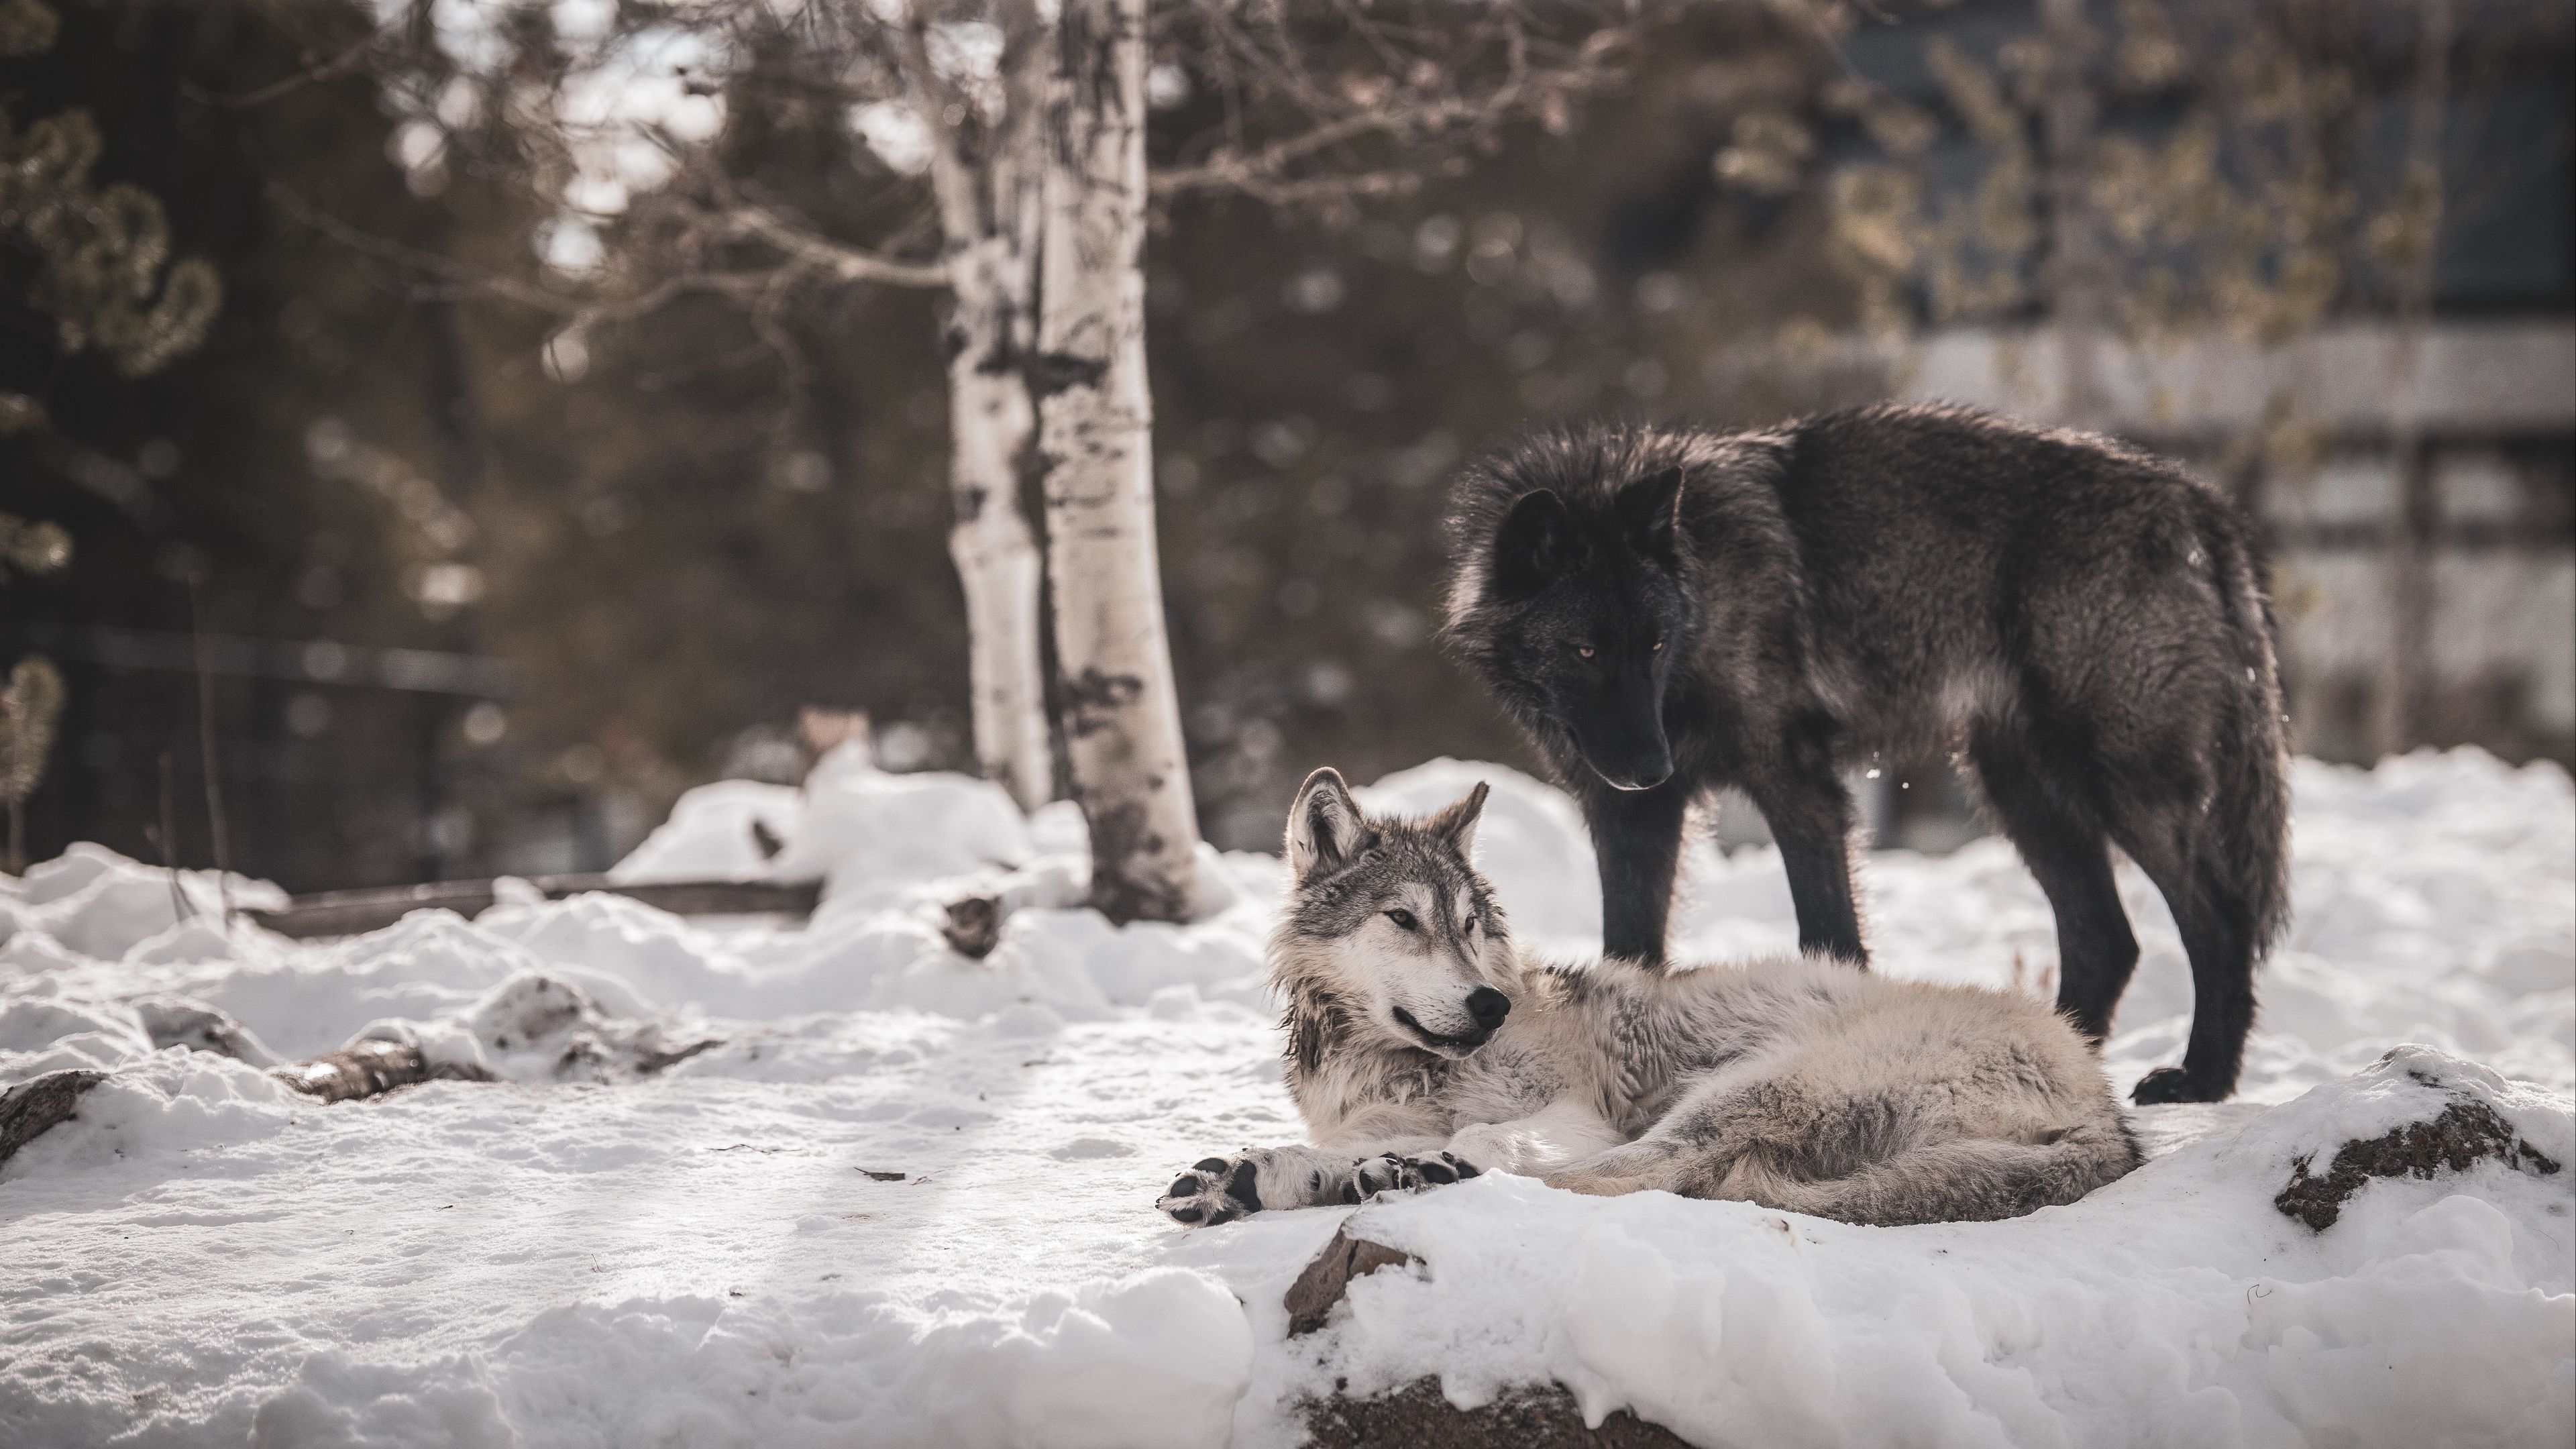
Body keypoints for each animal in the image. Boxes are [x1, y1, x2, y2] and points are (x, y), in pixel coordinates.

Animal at [1156, 769, 2140, 1229]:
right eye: (1403, 919)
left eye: (1470, 924)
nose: (1490, 1007)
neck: (1392, 1064)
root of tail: (2111, 1112)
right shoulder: (1372, 1119)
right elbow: (1349, 1148)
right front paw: (1259, 1173)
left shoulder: (1573, 1114)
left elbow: (1503, 1138)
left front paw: (1416, 1165)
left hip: (1745, 1086)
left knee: (1648, 1174)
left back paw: (1426, 1178)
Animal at [1438, 405, 2291, 1104]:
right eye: (1585, 650)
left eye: (1652, 644)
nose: (1654, 768)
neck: (1705, 594)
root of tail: (2196, 500)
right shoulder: (1630, 817)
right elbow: (1630, 949)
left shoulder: (1797, 787)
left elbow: (1830, 935)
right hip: (2020, 790)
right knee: (2106, 938)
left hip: (2122, 783)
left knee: (2218, 919)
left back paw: (2202, 1079)